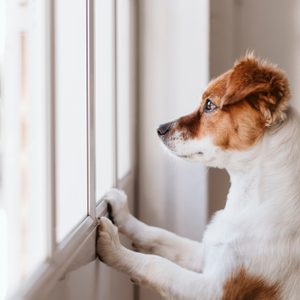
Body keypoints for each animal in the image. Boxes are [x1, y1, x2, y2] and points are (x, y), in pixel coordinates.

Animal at [96, 54, 300, 300]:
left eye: (209, 105)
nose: (159, 128)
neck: (251, 198)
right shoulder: (207, 253)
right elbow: (161, 236)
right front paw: (122, 213)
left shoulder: (215, 290)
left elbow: (157, 265)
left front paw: (113, 247)